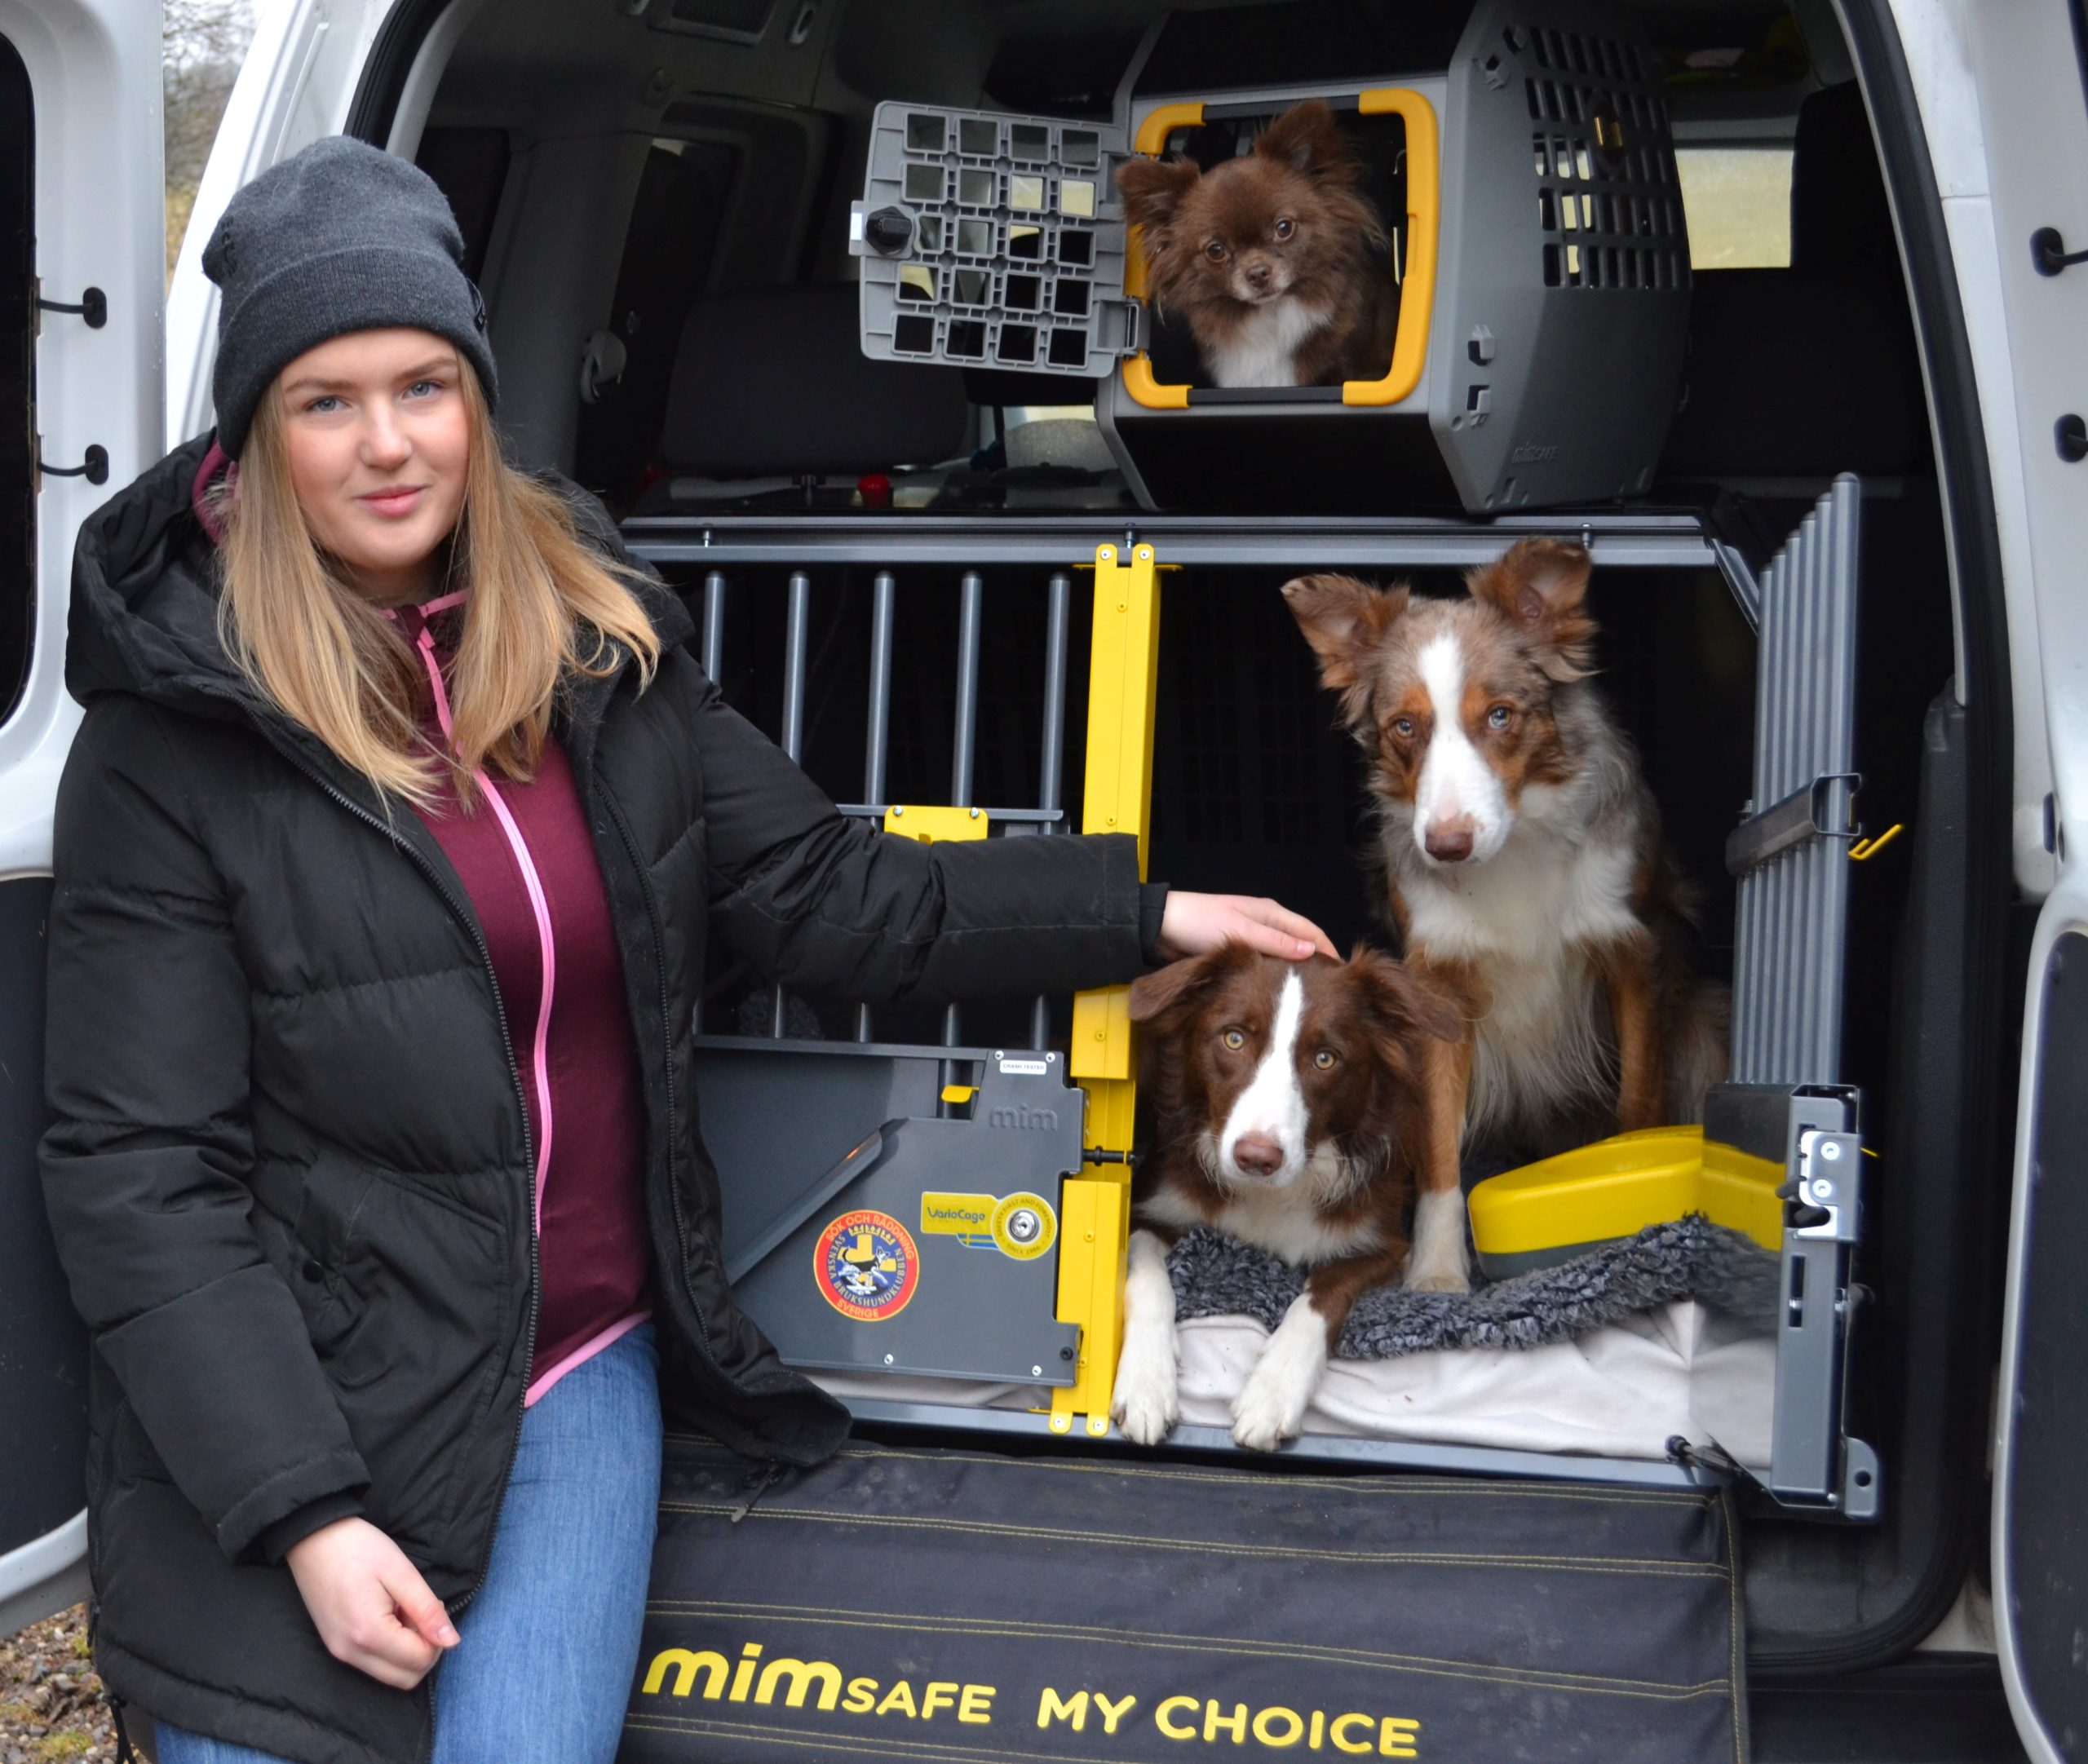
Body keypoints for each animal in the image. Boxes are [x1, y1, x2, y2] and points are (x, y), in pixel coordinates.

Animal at [1110, 944, 1470, 1452]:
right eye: (1234, 1039)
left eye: (1325, 1058)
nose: (1256, 1158)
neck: (1266, 1196)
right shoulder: (1154, 1207)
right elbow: (1145, 1276)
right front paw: (1145, 1385)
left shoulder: (1380, 1244)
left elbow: (1321, 1299)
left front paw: (1271, 1395)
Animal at [1277, 530, 1736, 1285]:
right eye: (1405, 727)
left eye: (1500, 715)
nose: (1447, 845)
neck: (1513, 846)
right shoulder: (1437, 985)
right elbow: (1439, 1144)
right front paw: (1438, 1272)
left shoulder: (1633, 949)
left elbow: (1639, 1102)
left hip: (1704, 1018)